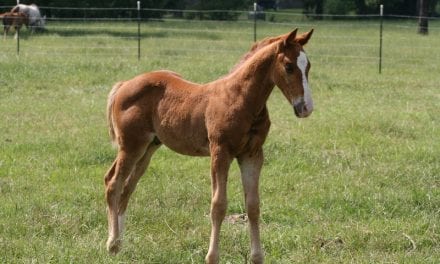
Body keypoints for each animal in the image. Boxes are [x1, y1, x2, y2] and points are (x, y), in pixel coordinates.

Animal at [105, 28, 314, 264]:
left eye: (308, 66)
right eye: (288, 66)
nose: (306, 107)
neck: (240, 98)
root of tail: (124, 84)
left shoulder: (252, 154)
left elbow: (253, 205)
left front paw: (257, 256)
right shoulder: (220, 152)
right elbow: (218, 205)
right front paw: (212, 256)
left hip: (149, 147)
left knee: (127, 187)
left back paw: (120, 242)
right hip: (131, 146)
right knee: (113, 183)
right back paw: (112, 244)